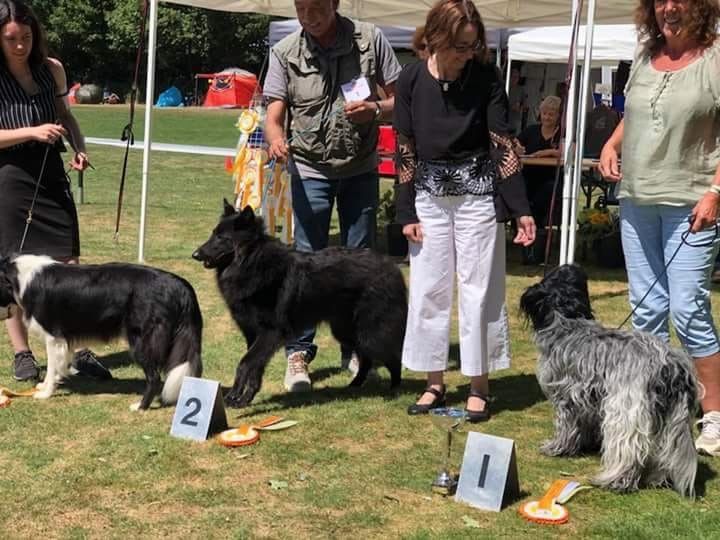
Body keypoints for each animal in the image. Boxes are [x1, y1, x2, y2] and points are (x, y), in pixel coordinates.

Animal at [0, 254, 204, 410]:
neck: (20, 277)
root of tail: (180, 285)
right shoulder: (63, 339)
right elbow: (60, 364)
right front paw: (50, 383)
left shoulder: (53, 337)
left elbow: (51, 367)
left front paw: (45, 392)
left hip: (142, 341)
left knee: (154, 377)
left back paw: (140, 406)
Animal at [193, 200, 404, 408]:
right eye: (213, 233)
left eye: (221, 238)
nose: (195, 254)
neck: (251, 261)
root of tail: (391, 265)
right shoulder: (254, 335)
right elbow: (254, 368)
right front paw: (245, 399)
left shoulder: (270, 332)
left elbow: (244, 363)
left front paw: (233, 396)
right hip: (346, 331)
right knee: (366, 358)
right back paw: (355, 385)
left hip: (371, 333)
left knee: (393, 356)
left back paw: (394, 389)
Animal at [516, 266, 696, 498]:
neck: (567, 321)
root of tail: (671, 363)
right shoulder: (588, 401)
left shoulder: (565, 397)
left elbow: (565, 427)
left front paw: (556, 448)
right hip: (671, 415)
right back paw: (656, 479)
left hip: (625, 411)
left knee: (629, 451)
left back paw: (617, 481)